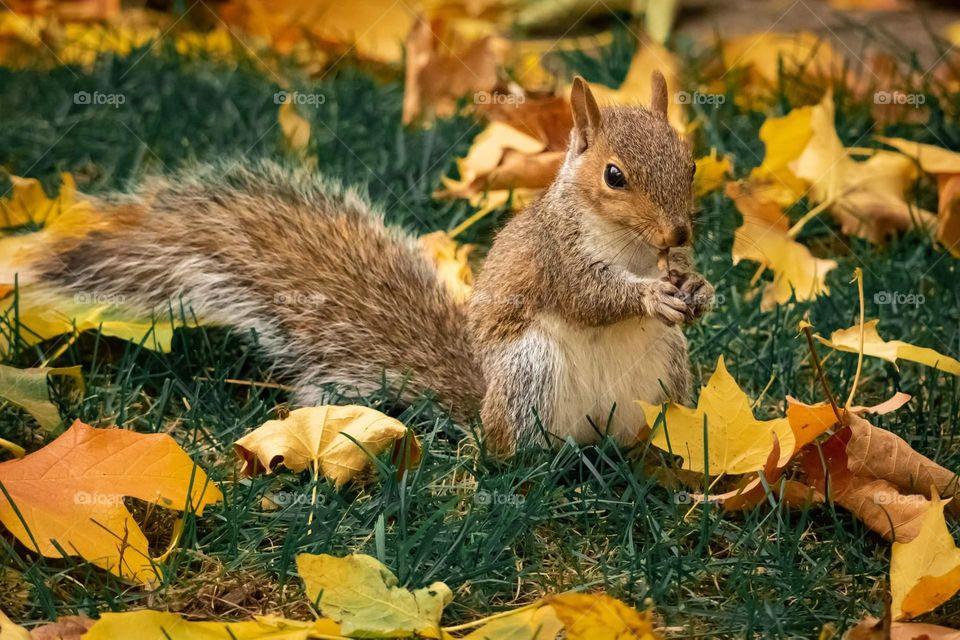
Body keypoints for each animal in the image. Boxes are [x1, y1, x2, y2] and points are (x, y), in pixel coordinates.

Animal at [24, 72, 712, 458]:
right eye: (614, 176)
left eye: (690, 162)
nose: (678, 231)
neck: (631, 248)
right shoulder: (555, 256)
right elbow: (586, 296)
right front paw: (647, 297)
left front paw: (700, 290)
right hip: (529, 374)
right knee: (516, 455)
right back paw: (540, 466)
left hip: (667, 372)